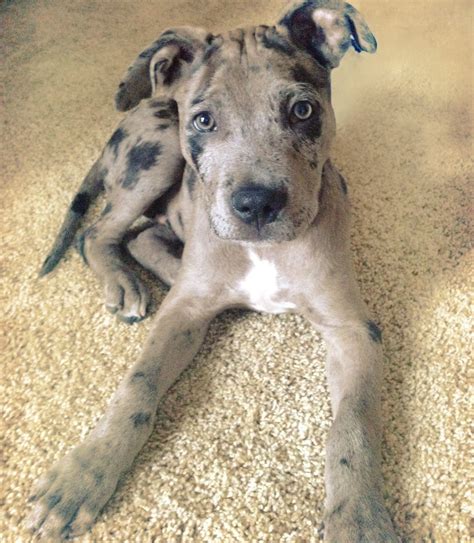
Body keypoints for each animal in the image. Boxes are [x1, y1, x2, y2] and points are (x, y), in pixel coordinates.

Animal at [30, 2, 400, 540]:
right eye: (204, 120)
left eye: (303, 110)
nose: (257, 204)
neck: (263, 251)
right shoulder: (177, 320)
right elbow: (137, 385)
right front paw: (85, 472)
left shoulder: (353, 329)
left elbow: (351, 425)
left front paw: (359, 518)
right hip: (157, 156)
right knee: (100, 233)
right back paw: (128, 283)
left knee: (140, 237)